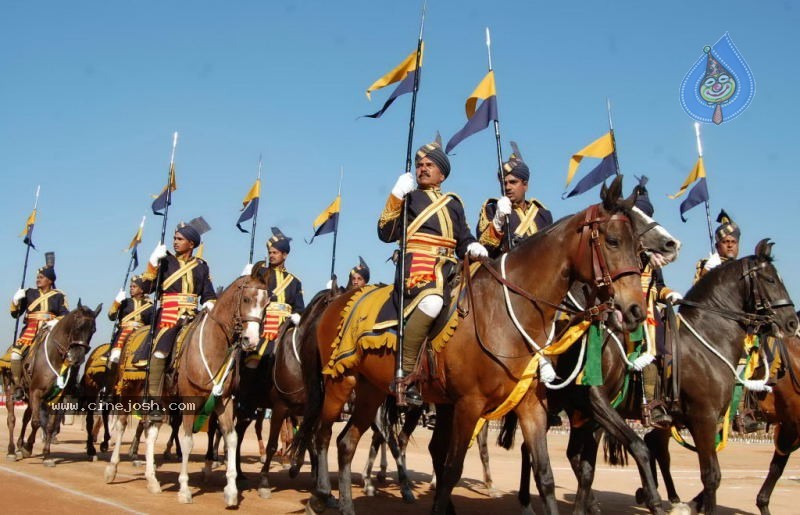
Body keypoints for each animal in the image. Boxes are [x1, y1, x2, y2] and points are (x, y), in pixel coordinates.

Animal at [1, 302, 101, 468]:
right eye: (77, 327)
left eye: (93, 330)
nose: (77, 357)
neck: (56, 357)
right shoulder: (36, 392)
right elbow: (36, 422)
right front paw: (28, 448)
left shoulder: (56, 398)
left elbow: (49, 425)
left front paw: (45, 455)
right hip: (10, 390)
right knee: (12, 419)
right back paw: (11, 450)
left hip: (29, 395)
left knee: (26, 417)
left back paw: (21, 444)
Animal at [290, 175, 648, 512]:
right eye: (613, 241)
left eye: (639, 250)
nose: (635, 310)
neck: (506, 311)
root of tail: (335, 302)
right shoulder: (468, 404)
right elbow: (451, 470)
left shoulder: (532, 405)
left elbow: (545, 474)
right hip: (341, 383)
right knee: (322, 434)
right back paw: (322, 495)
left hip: (371, 390)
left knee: (346, 442)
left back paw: (346, 502)